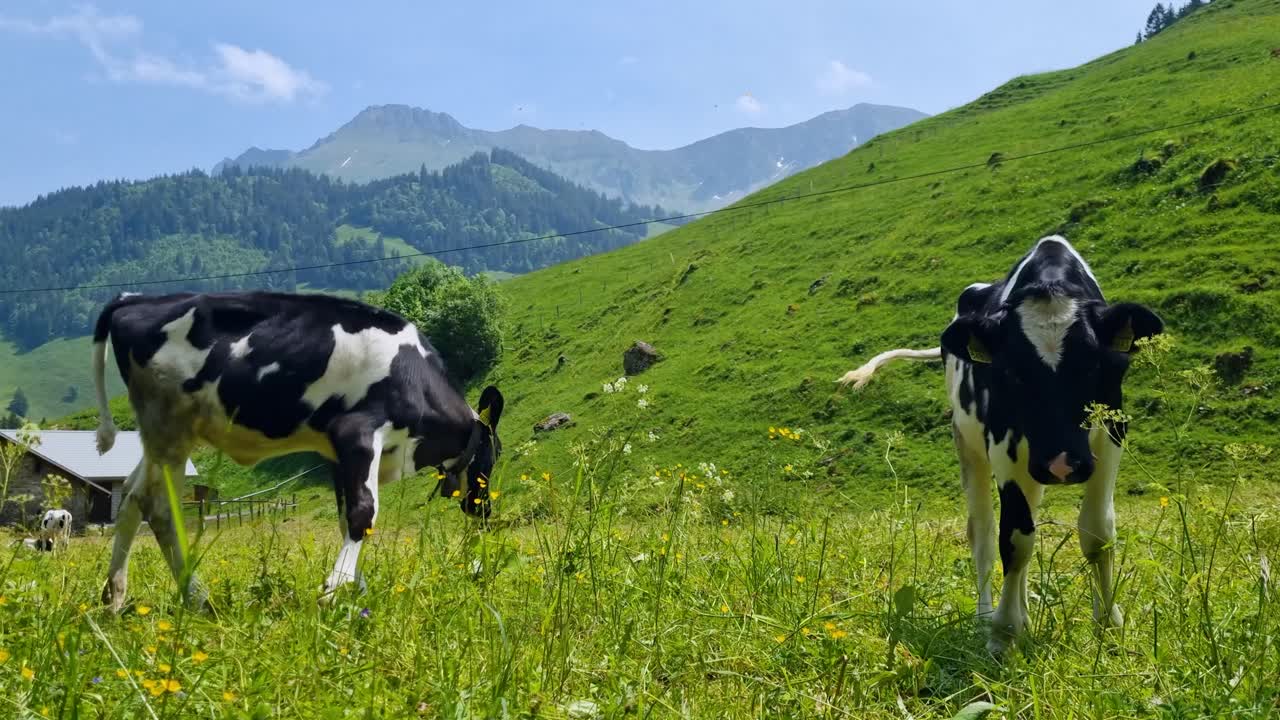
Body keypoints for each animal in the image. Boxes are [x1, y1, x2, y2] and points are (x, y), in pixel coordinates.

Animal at [91, 290, 505, 612]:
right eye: (495, 455)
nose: (484, 511)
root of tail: (136, 299)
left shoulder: (338, 454)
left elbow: (345, 518)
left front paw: (353, 588)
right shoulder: (357, 431)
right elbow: (363, 513)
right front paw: (334, 590)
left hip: (160, 434)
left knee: (130, 498)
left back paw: (114, 598)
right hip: (170, 425)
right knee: (157, 505)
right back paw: (197, 597)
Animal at [837, 235, 1163, 654]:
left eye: (1096, 366)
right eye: (1011, 372)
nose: (1063, 464)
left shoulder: (1110, 434)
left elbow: (1096, 533)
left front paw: (1109, 626)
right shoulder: (1003, 445)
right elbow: (1014, 538)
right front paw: (1003, 635)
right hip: (970, 445)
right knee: (985, 534)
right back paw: (988, 617)